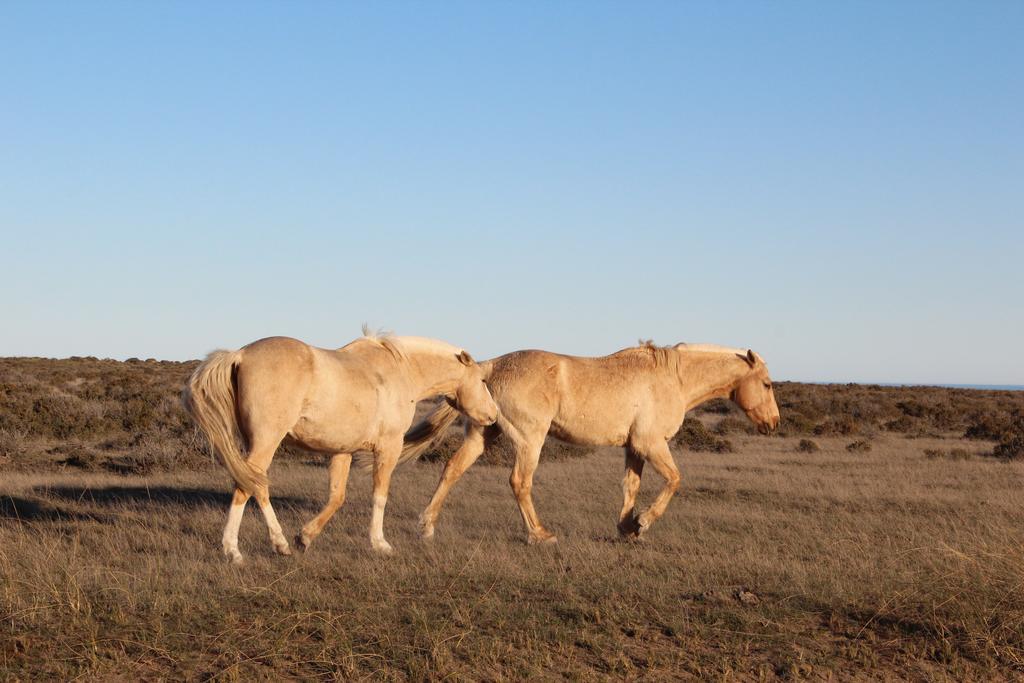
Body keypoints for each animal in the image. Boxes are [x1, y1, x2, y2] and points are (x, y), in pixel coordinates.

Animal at [187, 331, 499, 561]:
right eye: (483, 380)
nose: (494, 416)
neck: (401, 372)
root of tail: (240, 355)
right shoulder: (388, 448)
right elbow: (380, 495)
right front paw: (380, 543)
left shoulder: (342, 451)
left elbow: (336, 497)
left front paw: (306, 537)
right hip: (266, 441)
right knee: (250, 486)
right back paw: (245, 548)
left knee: (253, 484)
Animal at [403, 342, 778, 544]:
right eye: (767, 384)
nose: (773, 423)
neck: (674, 379)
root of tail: (490, 367)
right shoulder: (651, 443)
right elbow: (674, 480)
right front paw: (643, 522)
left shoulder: (634, 447)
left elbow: (631, 486)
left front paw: (628, 528)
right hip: (529, 439)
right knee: (520, 482)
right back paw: (540, 534)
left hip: (482, 433)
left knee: (452, 469)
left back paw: (427, 526)